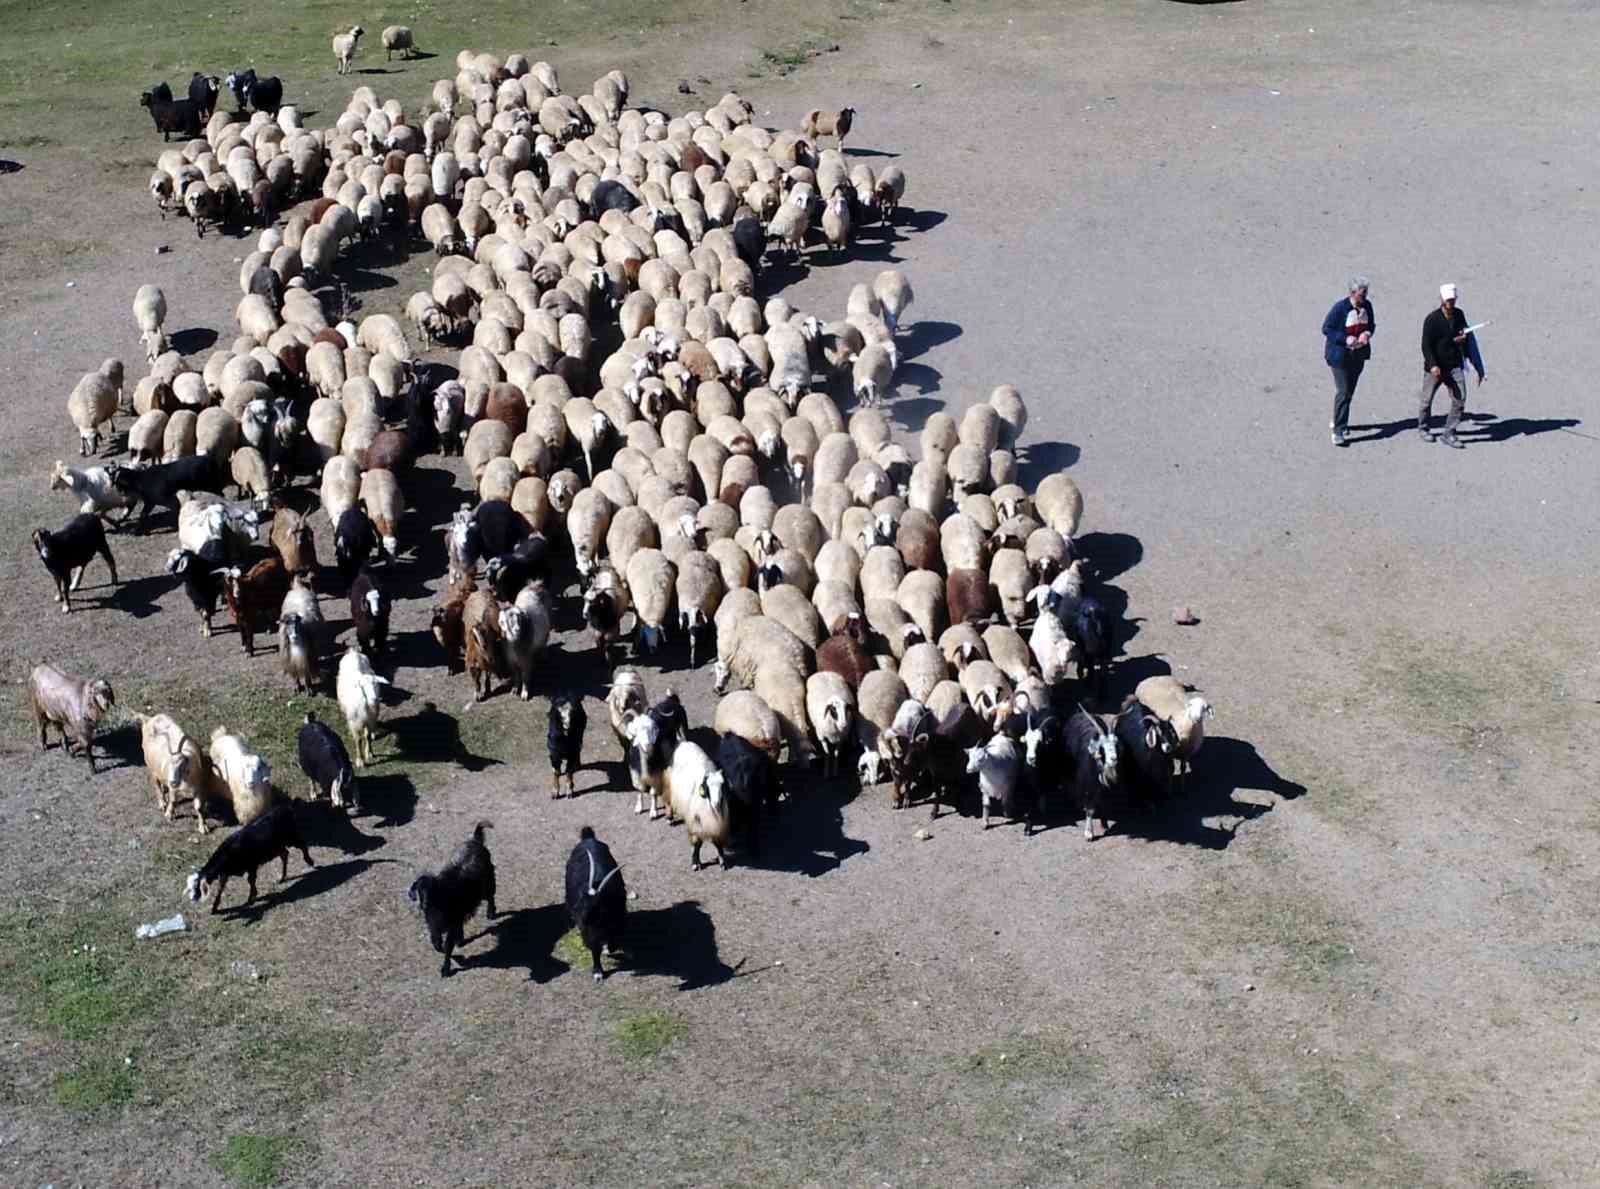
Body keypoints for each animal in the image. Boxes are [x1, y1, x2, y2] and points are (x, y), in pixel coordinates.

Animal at [184, 803, 315, 915]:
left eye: (197, 886)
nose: (192, 898)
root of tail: (285, 808)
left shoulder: (252, 865)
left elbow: (250, 880)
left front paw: (251, 897)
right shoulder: (225, 874)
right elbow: (220, 889)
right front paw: (214, 907)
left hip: (291, 836)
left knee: (302, 845)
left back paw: (310, 861)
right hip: (276, 846)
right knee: (285, 854)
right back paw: (282, 877)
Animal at [406, 825, 492, 979]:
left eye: (434, 890)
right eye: (419, 890)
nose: (424, 904)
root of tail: (475, 841)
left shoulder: (450, 924)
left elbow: (447, 947)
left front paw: (445, 969)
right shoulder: (435, 926)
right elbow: (437, 944)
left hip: (487, 883)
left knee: (491, 897)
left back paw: (491, 913)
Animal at [563, 825, 624, 985]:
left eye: (597, 905)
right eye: (582, 898)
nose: (576, 914)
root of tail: (588, 838)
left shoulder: (617, 920)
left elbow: (613, 942)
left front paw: (608, 949)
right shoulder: (589, 929)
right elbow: (594, 948)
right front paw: (598, 972)